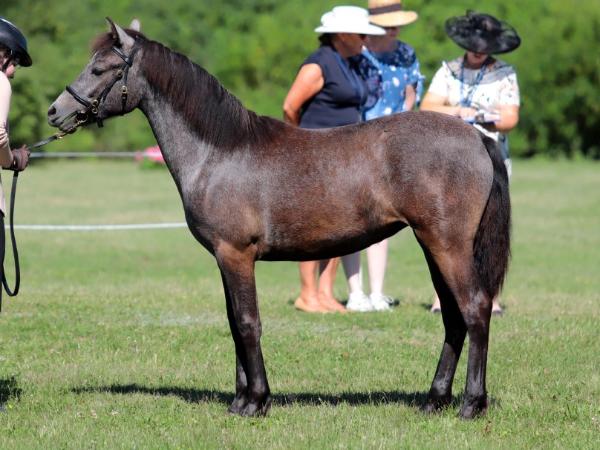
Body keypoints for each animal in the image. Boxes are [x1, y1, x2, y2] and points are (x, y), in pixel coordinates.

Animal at [47, 19, 510, 419]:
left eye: (101, 68)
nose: (55, 111)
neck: (220, 150)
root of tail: (477, 136)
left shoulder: (235, 255)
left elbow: (248, 324)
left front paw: (255, 402)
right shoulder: (225, 259)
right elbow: (234, 324)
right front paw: (240, 400)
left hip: (447, 246)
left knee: (474, 309)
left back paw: (471, 404)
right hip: (433, 246)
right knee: (453, 318)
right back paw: (434, 401)